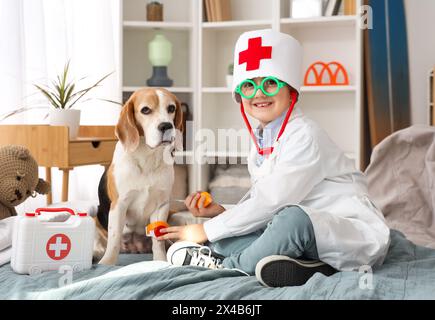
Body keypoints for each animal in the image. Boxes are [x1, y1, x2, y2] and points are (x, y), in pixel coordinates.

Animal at [95, 87, 184, 264]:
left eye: (171, 108)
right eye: (145, 110)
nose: (166, 126)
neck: (147, 157)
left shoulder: (161, 205)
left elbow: (158, 239)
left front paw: (160, 261)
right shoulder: (119, 204)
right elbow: (114, 238)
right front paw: (107, 263)